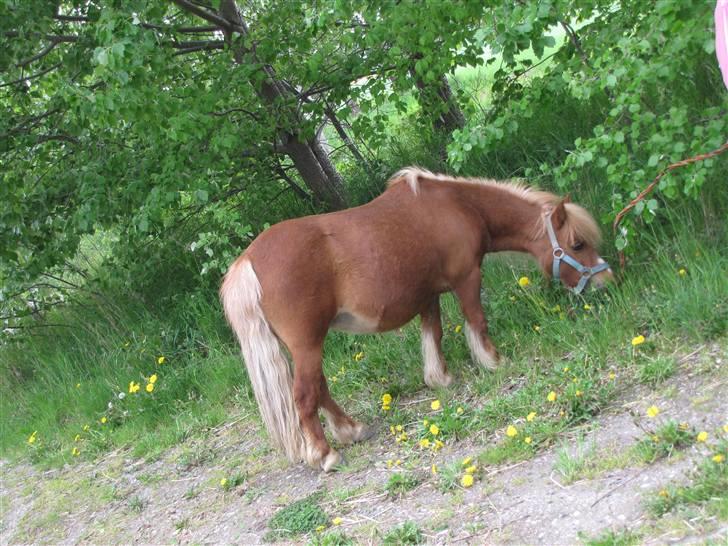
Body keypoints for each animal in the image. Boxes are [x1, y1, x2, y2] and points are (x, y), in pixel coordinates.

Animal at [219, 166, 612, 468]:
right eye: (577, 244)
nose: (606, 279)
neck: (459, 206)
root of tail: (248, 260)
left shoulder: (428, 294)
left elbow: (433, 334)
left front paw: (440, 378)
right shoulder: (467, 278)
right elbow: (476, 320)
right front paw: (493, 361)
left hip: (306, 346)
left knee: (319, 388)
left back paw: (351, 430)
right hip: (307, 343)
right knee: (304, 395)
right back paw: (326, 454)